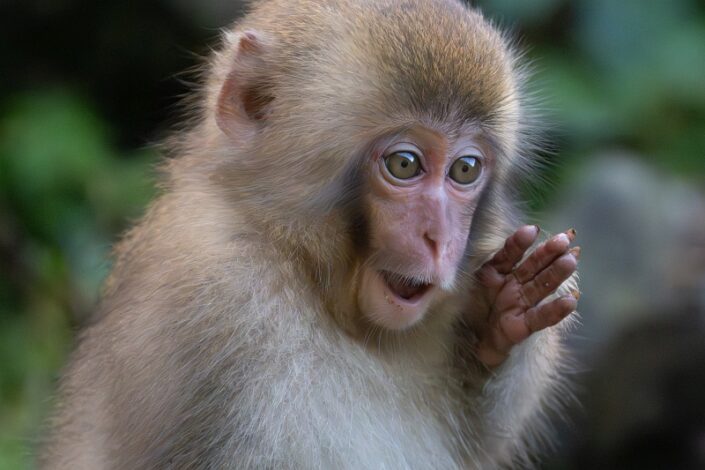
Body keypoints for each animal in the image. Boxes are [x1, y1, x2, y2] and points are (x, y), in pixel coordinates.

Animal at [39, 0, 580, 468]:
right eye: (405, 164)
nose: (440, 239)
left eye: (465, 170)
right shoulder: (211, 309)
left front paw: (500, 313)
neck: (301, 268)